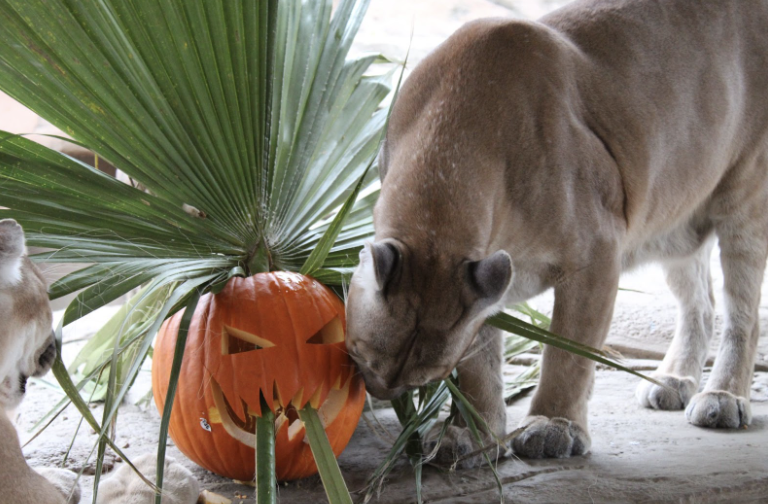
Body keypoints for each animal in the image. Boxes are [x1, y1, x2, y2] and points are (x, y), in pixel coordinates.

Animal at [346, 0, 768, 464]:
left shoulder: (597, 253)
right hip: (675, 215)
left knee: (743, 313)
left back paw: (723, 397)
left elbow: (569, 350)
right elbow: (479, 359)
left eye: (427, 377)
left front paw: (554, 425)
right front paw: (473, 433)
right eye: (361, 355)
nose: (383, 392)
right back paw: (673, 380)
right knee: (701, 302)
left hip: (744, 199)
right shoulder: (483, 280)